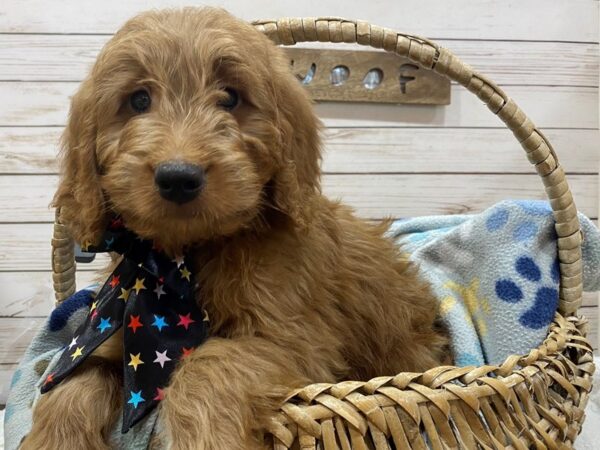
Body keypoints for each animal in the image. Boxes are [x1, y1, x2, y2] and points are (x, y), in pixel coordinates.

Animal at [22, 7, 446, 450]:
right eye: (137, 100)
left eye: (230, 97)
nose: (178, 177)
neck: (182, 261)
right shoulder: (111, 339)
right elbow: (72, 381)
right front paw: (54, 439)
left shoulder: (296, 341)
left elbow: (209, 362)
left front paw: (208, 438)